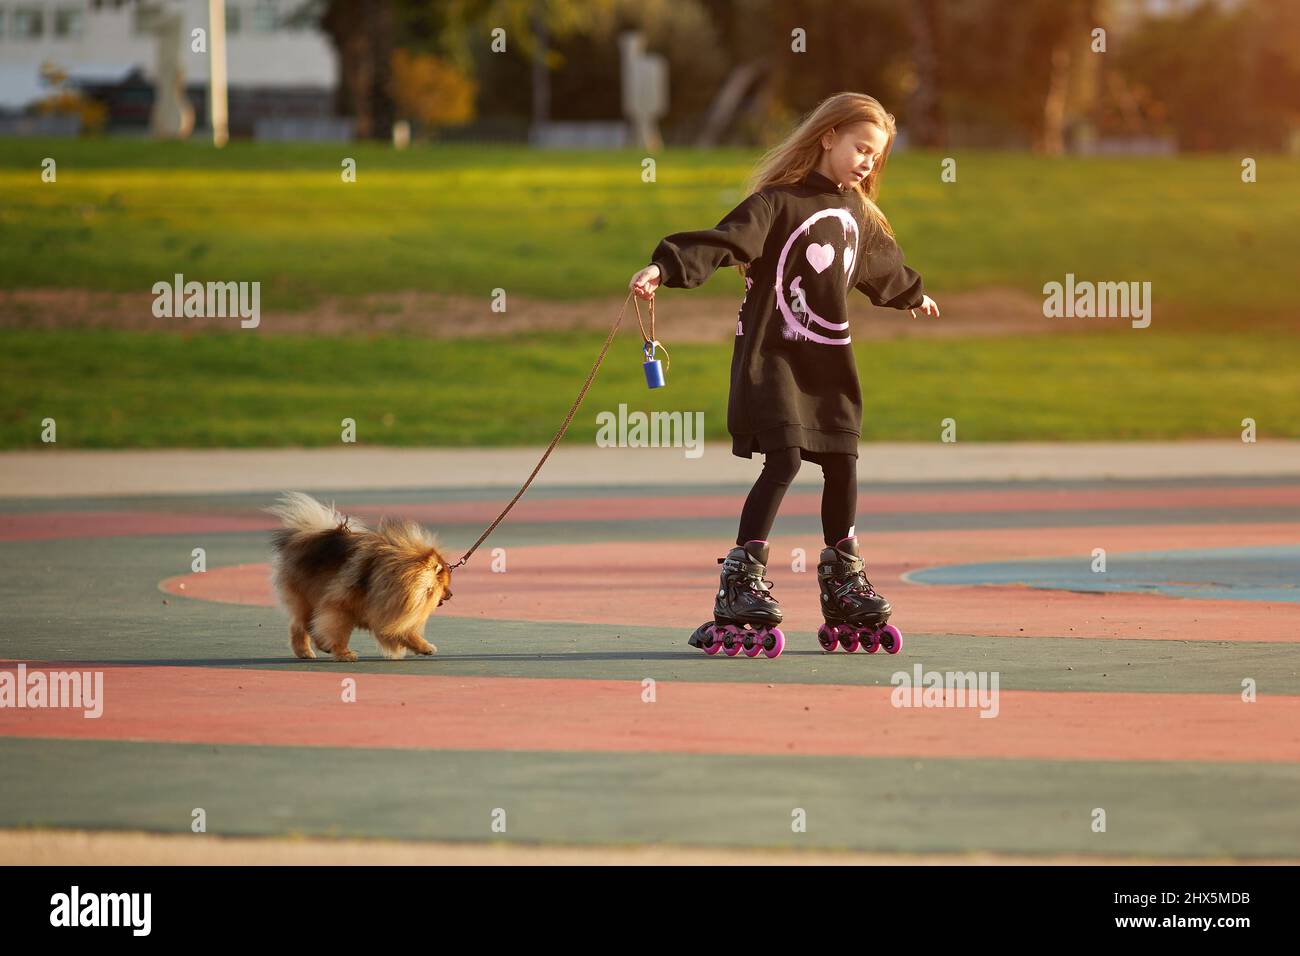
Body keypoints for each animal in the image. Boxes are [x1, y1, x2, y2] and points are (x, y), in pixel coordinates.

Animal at [263, 489, 452, 660]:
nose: (451, 594)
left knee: (299, 625)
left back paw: (307, 651)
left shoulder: (387, 611)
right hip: (307, 598)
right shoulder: (341, 607)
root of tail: (304, 535)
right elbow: (339, 632)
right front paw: (344, 654)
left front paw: (424, 647)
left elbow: (405, 632)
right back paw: (314, 648)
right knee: (305, 624)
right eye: (443, 586)